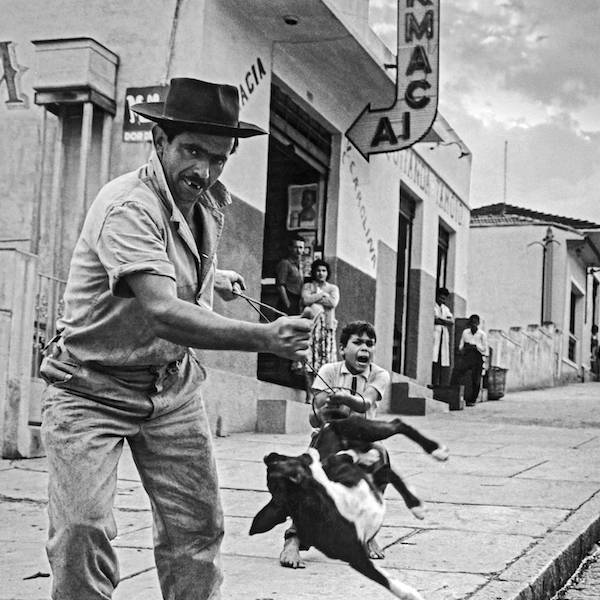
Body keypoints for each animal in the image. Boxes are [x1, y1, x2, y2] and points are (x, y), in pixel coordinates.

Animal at [250, 418, 450, 600]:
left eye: (280, 460)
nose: (268, 455)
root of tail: (328, 422)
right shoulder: (355, 556)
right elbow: (384, 579)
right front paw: (408, 593)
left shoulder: (342, 469)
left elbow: (336, 461)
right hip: (373, 469)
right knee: (387, 468)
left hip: (362, 430)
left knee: (397, 425)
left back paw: (435, 452)